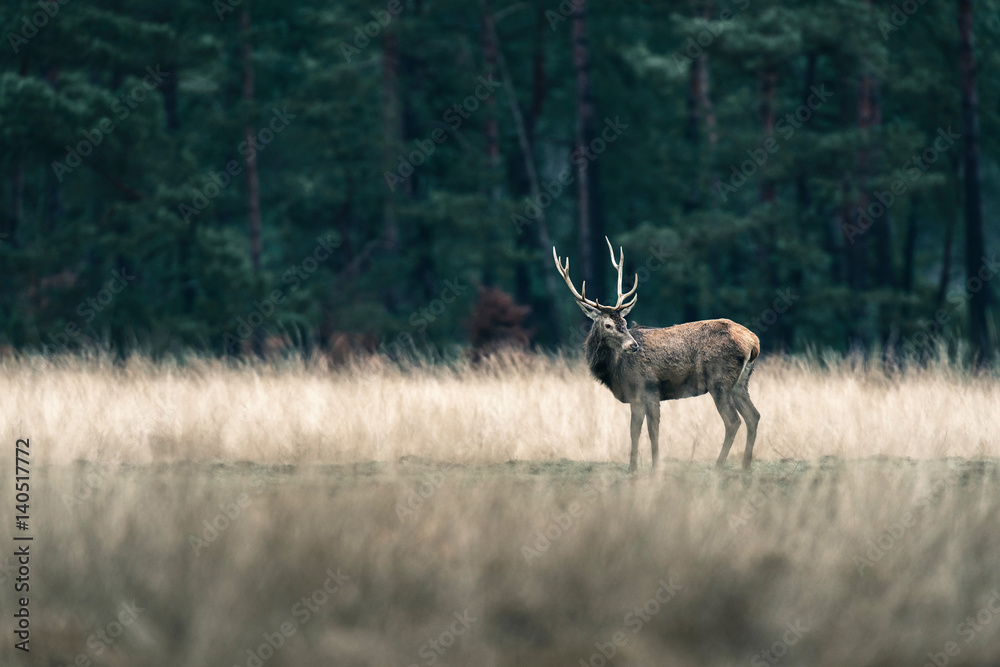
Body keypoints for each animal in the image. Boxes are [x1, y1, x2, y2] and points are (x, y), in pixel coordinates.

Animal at [553, 238, 761, 471]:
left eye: (624, 321)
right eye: (608, 324)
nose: (633, 346)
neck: (615, 370)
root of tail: (753, 342)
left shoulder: (649, 387)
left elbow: (653, 431)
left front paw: (655, 468)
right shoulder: (635, 396)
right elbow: (634, 432)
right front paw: (633, 468)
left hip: (719, 379)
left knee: (733, 421)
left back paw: (719, 467)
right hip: (741, 382)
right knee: (753, 416)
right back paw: (745, 467)